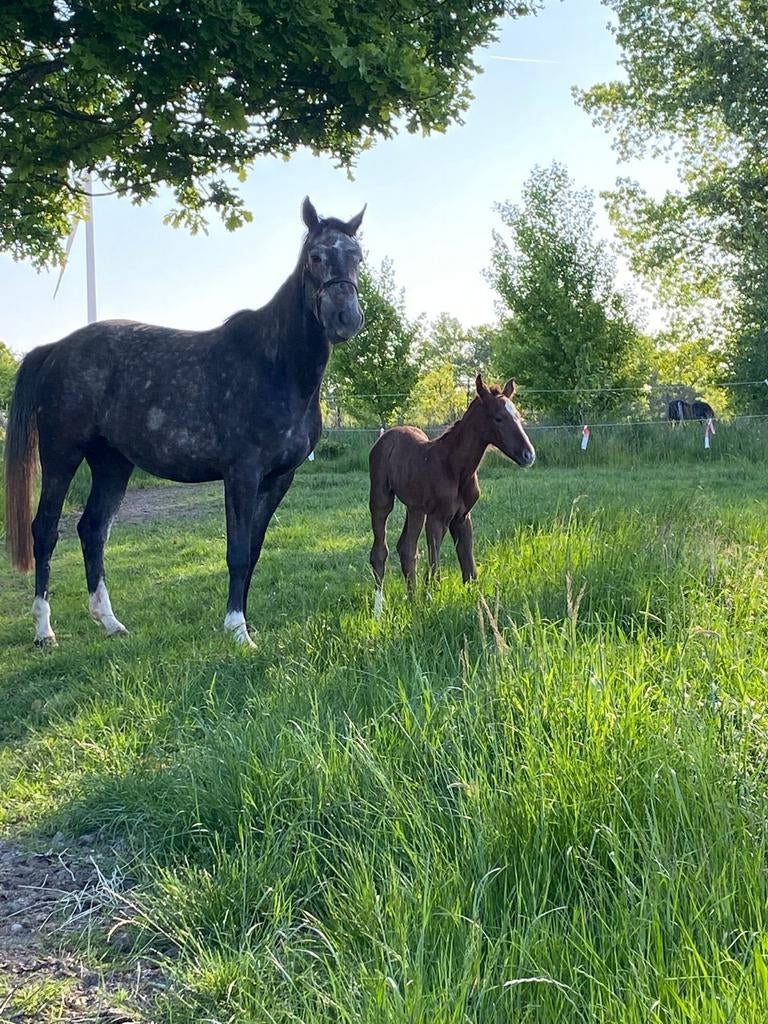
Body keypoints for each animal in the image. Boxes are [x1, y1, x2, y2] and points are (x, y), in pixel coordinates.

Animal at [4, 197, 365, 647]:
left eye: (357, 256)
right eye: (316, 257)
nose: (346, 318)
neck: (275, 365)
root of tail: (55, 350)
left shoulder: (280, 478)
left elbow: (254, 549)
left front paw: (245, 623)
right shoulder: (242, 473)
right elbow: (237, 551)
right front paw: (237, 630)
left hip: (112, 464)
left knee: (92, 530)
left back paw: (110, 622)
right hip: (61, 457)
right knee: (46, 531)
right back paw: (44, 630)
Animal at [368, 375, 535, 614]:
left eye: (519, 417)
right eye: (499, 418)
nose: (528, 455)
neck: (455, 467)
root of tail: (386, 436)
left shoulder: (462, 518)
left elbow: (470, 570)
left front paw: (478, 605)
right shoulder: (437, 518)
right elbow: (435, 569)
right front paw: (431, 603)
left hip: (415, 508)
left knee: (406, 548)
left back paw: (412, 602)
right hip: (382, 499)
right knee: (382, 551)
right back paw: (379, 610)